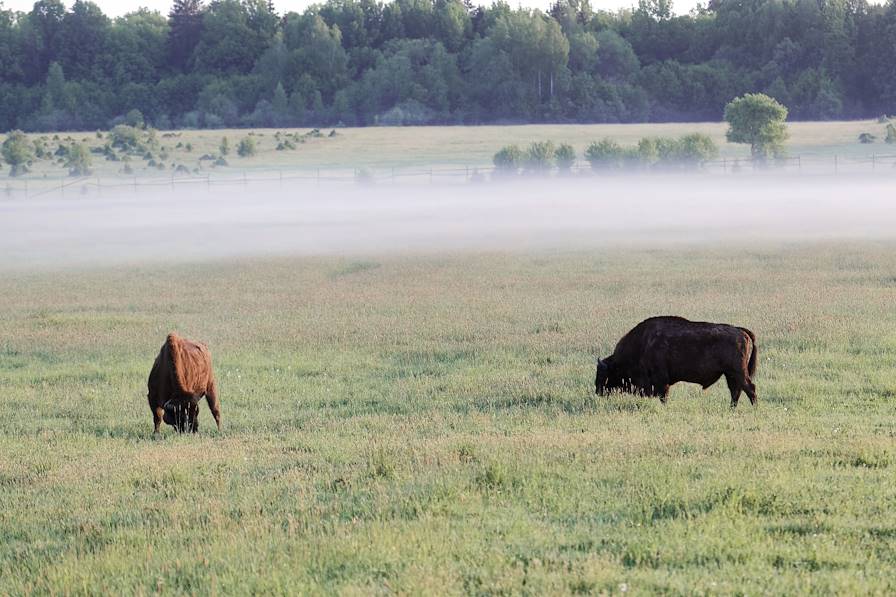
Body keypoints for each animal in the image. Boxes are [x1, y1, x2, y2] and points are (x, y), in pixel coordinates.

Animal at [596, 314, 756, 408]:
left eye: (603, 374)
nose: (597, 391)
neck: (643, 344)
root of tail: (740, 331)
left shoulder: (661, 381)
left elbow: (663, 397)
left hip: (738, 372)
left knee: (749, 388)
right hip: (730, 374)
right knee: (736, 391)